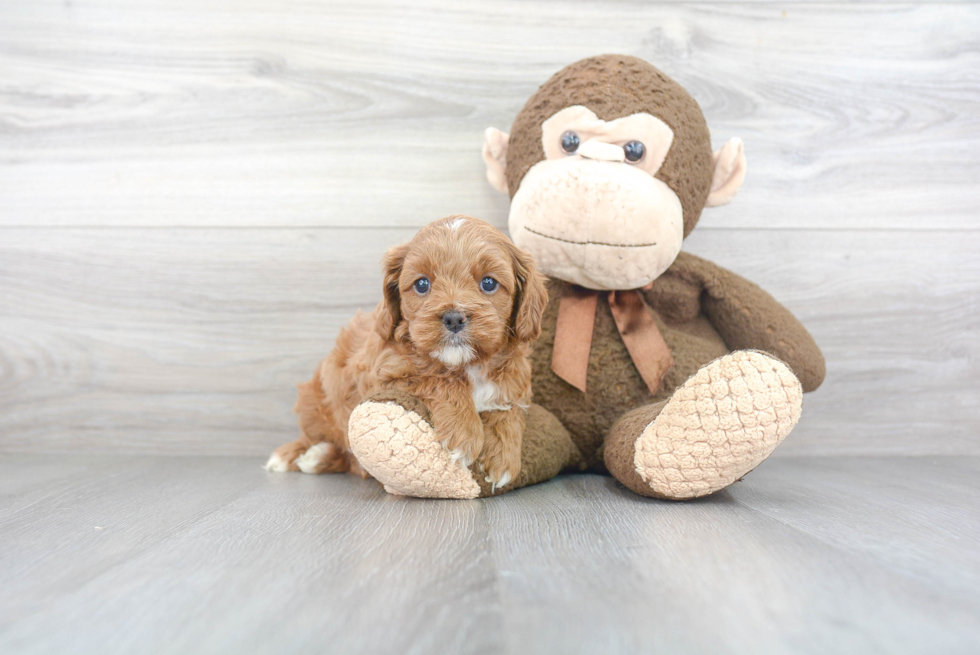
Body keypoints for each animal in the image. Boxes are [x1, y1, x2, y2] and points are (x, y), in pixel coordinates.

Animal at [264, 218, 548, 490]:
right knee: (320, 437)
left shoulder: (516, 383)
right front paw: (464, 433)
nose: (454, 318)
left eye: (488, 283)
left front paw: (502, 457)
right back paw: (300, 455)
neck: (467, 364)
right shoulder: (384, 376)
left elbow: (508, 409)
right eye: (422, 284)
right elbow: (440, 380)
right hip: (315, 402)